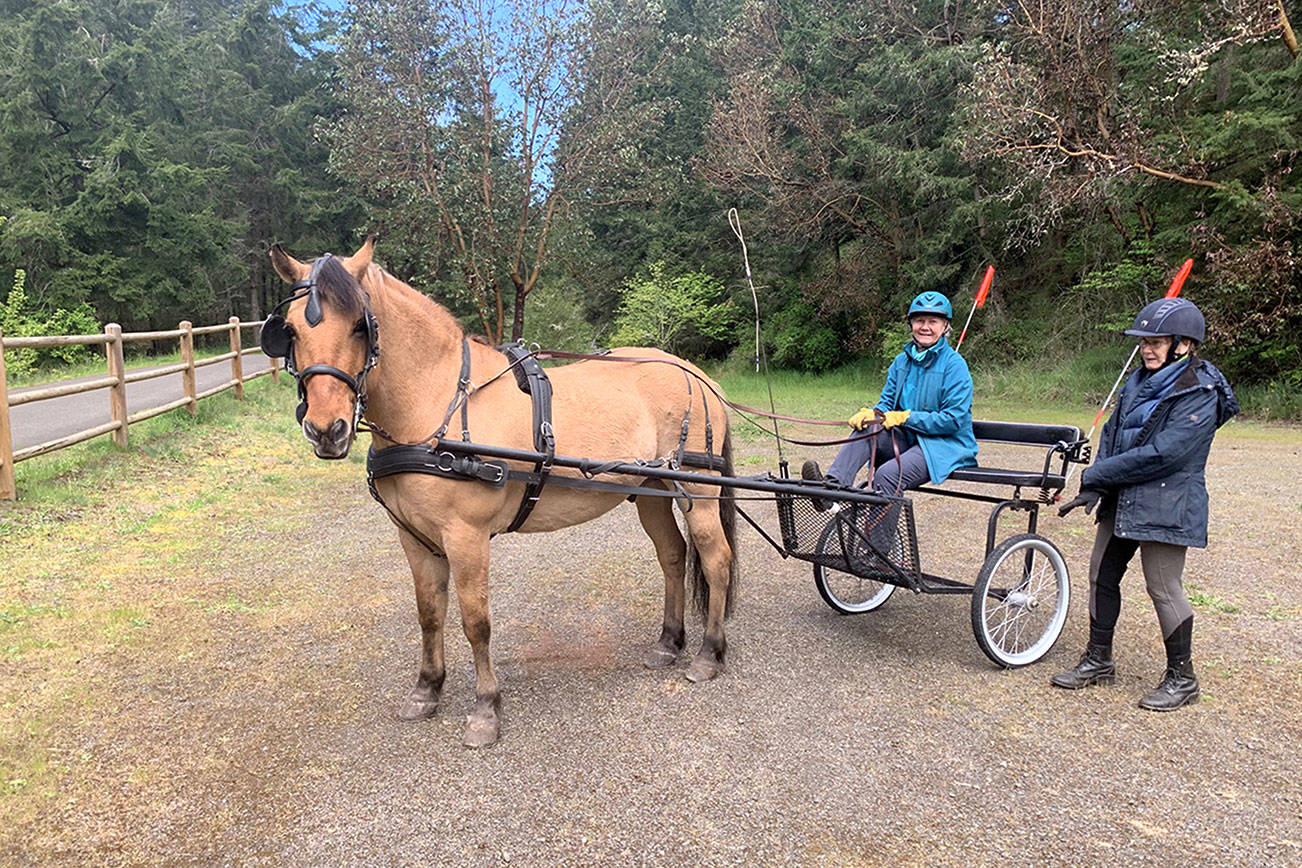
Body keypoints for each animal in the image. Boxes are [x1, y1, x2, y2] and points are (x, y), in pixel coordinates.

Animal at [265, 237, 738, 747]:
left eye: (360, 326)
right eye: (289, 330)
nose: (325, 429)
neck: (438, 404)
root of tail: (695, 373)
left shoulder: (466, 536)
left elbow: (476, 622)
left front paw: (485, 708)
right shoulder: (414, 537)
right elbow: (429, 614)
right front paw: (426, 690)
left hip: (698, 489)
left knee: (715, 559)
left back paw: (708, 654)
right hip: (652, 489)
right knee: (672, 556)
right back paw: (669, 643)